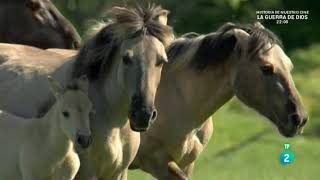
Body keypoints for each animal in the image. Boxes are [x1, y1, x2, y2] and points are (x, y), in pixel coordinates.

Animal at [0, 4, 174, 179]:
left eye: (161, 61)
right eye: (126, 58)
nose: (143, 114)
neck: (114, 124)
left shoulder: (119, 173)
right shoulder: (87, 173)